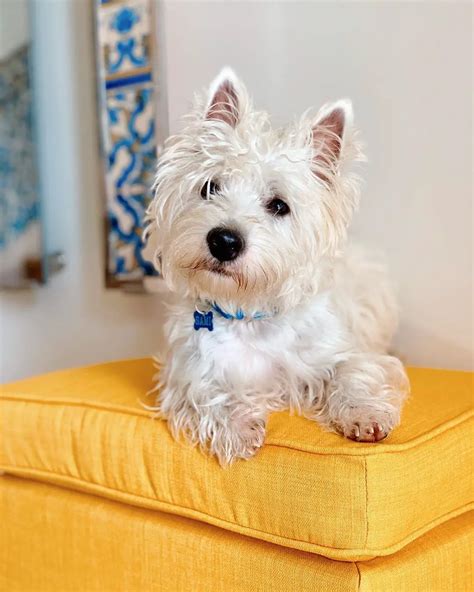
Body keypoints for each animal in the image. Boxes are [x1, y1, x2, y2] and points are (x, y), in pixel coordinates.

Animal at [144, 68, 408, 468]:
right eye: (210, 187)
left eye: (279, 205)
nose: (224, 241)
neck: (249, 313)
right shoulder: (188, 373)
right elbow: (207, 393)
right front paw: (239, 429)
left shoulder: (342, 352)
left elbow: (351, 372)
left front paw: (365, 414)